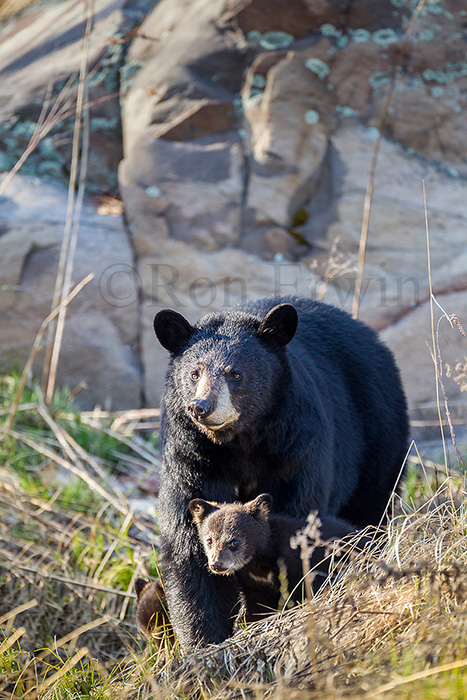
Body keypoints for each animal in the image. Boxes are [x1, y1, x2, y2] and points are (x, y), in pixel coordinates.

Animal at [188, 492, 368, 616]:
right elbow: (256, 608)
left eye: (234, 541)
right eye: (209, 540)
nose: (216, 564)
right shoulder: (254, 586)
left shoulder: (302, 569)